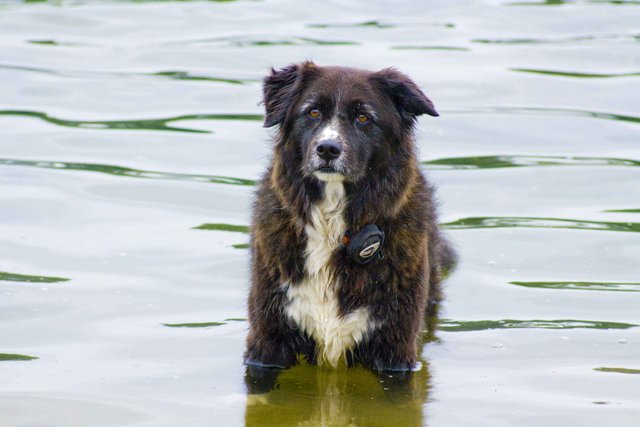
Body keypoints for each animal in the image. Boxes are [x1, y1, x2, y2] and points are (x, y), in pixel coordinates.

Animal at [244, 61, 456, 374]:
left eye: (363, 118)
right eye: (313, 112)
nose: (327, 149)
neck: (333, 222)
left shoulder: (395, 350)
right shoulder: (268, 341)